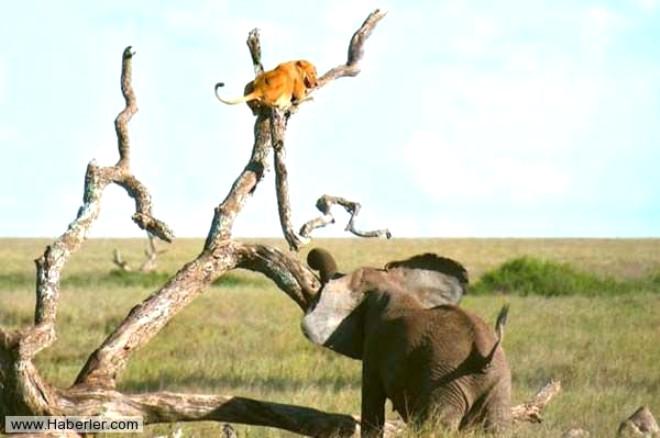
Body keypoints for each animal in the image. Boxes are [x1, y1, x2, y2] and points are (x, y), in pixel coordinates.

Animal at [302, 248, 512, 436]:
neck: (391, 285)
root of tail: (483, 355)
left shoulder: (375, 347)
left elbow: (372, 404)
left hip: (446, 381)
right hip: (498, 384)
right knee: (497, 427)